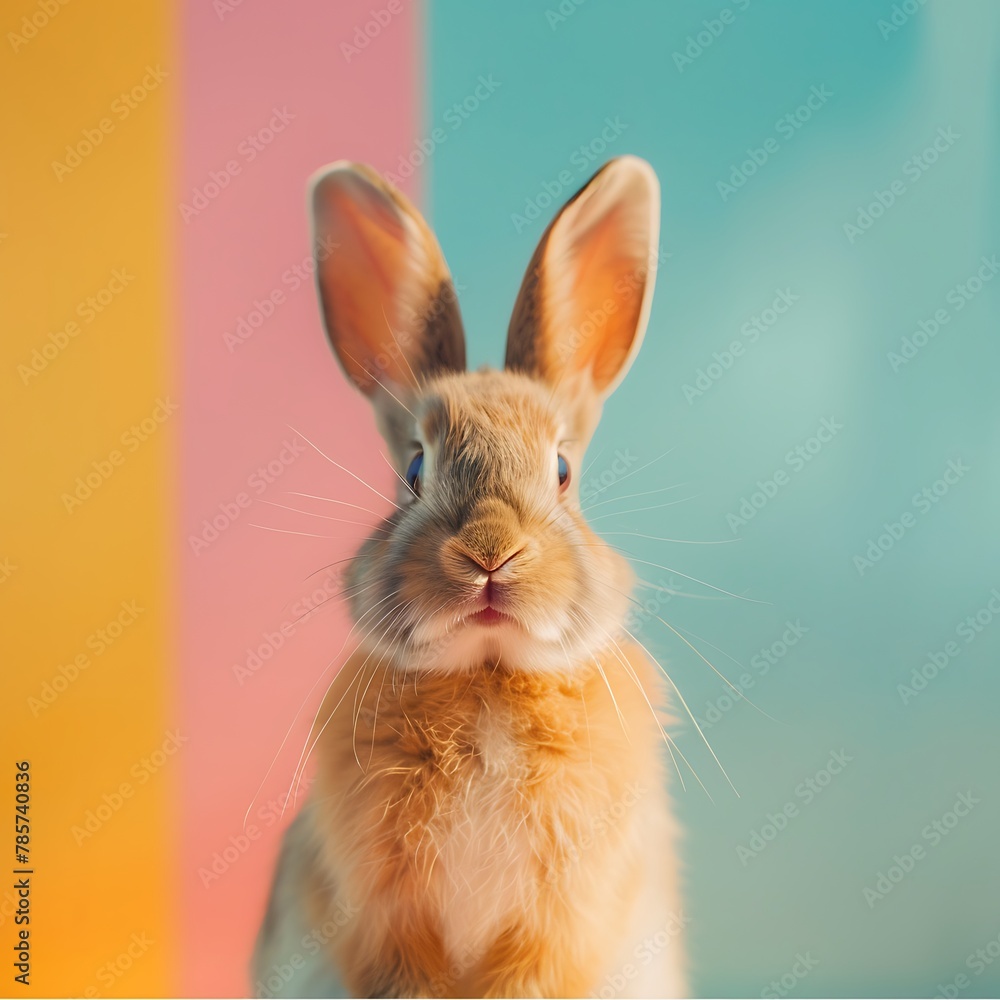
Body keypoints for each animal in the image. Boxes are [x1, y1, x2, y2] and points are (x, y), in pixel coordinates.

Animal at [251, 155, 686, 999]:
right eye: (415, 470)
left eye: (562, 472)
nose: (490, 553)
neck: (487, 677)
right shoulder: (386, 922)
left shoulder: (556, 926)